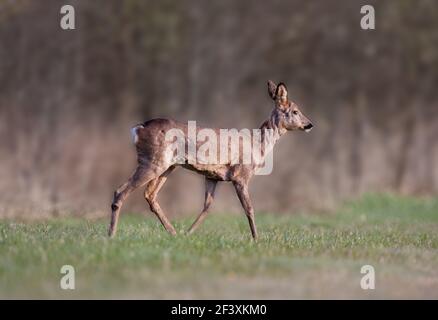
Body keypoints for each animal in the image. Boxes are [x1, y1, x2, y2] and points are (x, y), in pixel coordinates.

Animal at [111, 81, 314, 239]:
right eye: (295, 111)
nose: (309, 124)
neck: (258, 144)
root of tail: (138, 128)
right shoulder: (241, 175)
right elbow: (249, 208)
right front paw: (256, 239)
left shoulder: (212, 176)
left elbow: (207, 207)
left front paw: (188, 233)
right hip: (153, 161)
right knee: (120, 190)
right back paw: (111, 235)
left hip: (168, 166)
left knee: (150, 195)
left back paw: (173, 233)